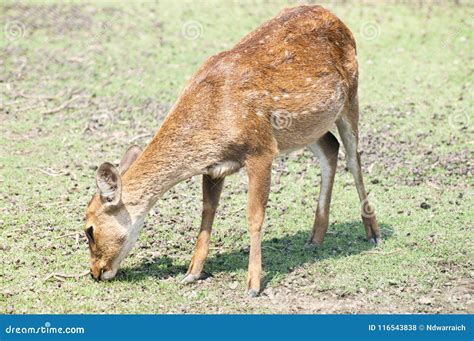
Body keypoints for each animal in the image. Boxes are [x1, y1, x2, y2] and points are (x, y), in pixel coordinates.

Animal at [84, 5, 382, 298]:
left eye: (89, 230)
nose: (96, 272)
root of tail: (337, 18)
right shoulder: (214, 167)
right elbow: (207, 211)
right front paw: (191, 273)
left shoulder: (261, 149)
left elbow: (254, 216)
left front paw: (253, 285)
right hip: (305, 127)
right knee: (330, 147)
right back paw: (315, 237)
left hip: (351, 96)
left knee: (353, 157)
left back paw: (373, 233)